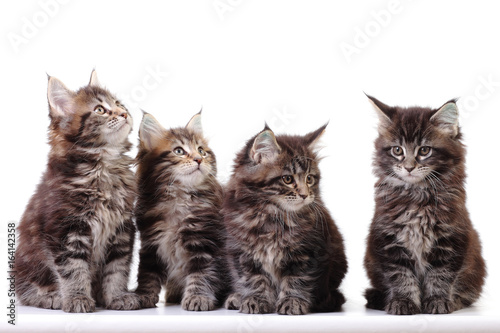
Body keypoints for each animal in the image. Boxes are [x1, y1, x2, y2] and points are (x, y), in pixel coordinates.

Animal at [15, 70, 140, 312]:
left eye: (118, 103)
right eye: (100, 109)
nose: (124, 113)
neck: (102, 169)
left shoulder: (122, 228)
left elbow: (117, 269)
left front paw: (117, 297)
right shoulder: (65, 229)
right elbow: (73, 270)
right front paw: (77, 299)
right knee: (26, 291)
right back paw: (52, 296)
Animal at [133, 113, 227, 310]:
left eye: (202, 150)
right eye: (179, 151)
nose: (199, 159)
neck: (178, 199)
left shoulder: (206, 243)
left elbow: (202, 274)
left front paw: (198, 297)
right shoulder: (151, 244)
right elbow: (147, 275)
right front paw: (143, 296)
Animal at [224, 124, 348, 314]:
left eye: (309, 179)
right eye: (287, 179)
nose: (305, 195)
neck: (272, 216)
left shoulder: (308, 253)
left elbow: (297, 280)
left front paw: (293, 302)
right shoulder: (242, 253)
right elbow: (254, 280)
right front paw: (256, 299)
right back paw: (237, 297)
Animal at [366, 94, 486, 312]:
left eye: (424, 150)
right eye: (397, 150)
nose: (409, 167)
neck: (417, 196)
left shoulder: (451, 238)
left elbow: (441, 275)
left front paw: (437, 301)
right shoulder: (390, 239)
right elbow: (401, 276)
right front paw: (403, 302)